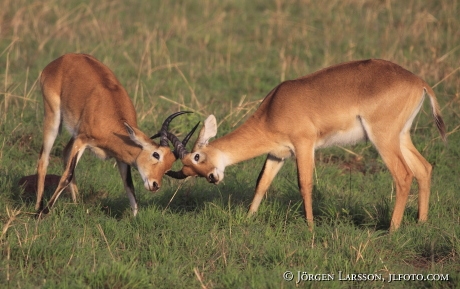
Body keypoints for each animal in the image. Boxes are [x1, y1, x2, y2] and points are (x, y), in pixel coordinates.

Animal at [34, 53, 196, 216]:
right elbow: (67, 175)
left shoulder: (120, 156)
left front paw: (135, 217)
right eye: (156, 154)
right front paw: (43, 213)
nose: (155, 184)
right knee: (44, 160)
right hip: (53, 118)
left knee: (65, 153)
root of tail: (60, 60)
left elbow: (129, 185)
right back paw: (38, 208)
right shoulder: (82, 140)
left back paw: (77, 203)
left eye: (169, 166)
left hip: (72, 133)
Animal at [167, 59, 448, 232]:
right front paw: (248, 217)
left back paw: (391, 229)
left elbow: (305, 184)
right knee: (424, 168)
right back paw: (421, 223)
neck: (274, 108)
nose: (213, 178)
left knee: (404, 175)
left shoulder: (303, 145)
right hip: (402, 136)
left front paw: (311, 226)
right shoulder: (278, 153)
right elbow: (262, 183)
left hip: (384, 138)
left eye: (197, 157)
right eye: (188, 172)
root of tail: (420, 82)